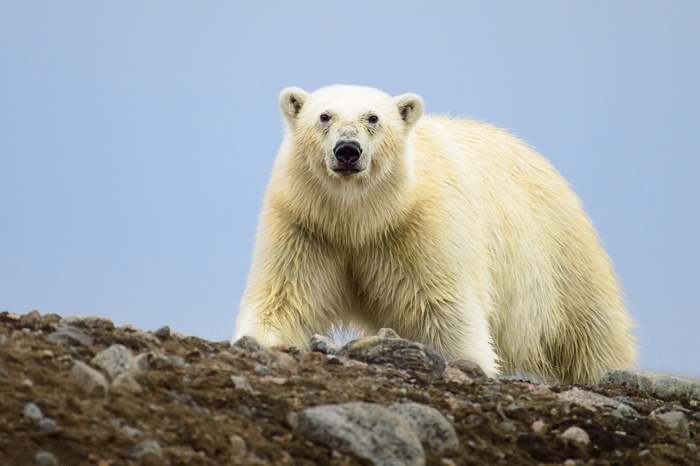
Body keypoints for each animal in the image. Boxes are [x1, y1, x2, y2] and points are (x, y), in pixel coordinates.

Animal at [232, 84, 636, 384]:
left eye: (373, 117)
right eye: (324, 116)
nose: (347, 150)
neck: (360, 220)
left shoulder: (421, 229)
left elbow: (445, 309)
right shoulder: (306, 227)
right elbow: (284, 297)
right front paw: (257, 341)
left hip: (560, 255)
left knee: (591, 330)